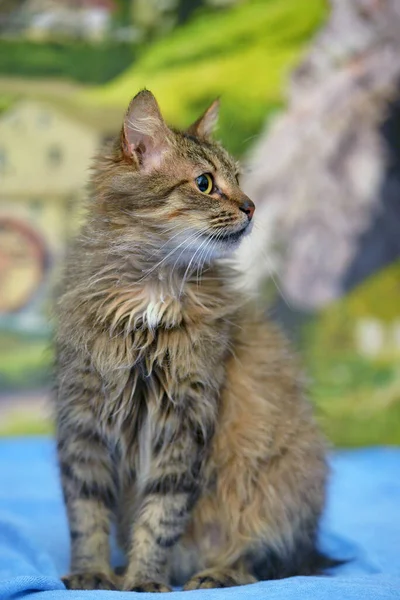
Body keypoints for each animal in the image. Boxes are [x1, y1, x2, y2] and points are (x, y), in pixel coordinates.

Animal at [54, 89, 330, 592]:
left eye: (239, 179)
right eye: (204, 183)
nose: (252, 206)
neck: (151, 293)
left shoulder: (186, 418)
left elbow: (161, 513)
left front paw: (145, 579)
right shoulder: (82, 416)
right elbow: (86, 511)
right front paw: (93, 573)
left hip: (281, 491)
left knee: (261, 560)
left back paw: (215, 573)